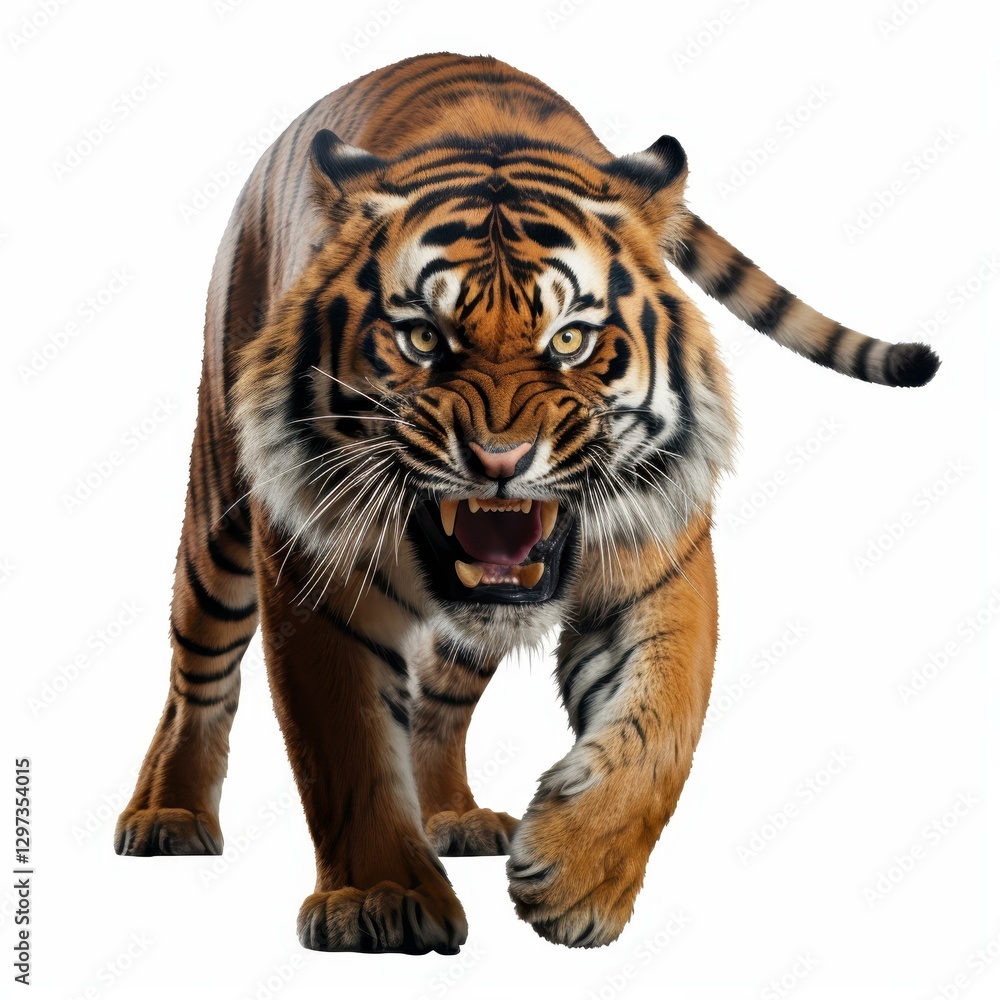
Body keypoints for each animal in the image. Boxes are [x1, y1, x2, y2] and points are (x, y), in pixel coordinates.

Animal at [114, 52, 939, 954]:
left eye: (570, 340)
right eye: (423, 338)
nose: (500, 461)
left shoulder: (663, 564)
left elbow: (663, 726)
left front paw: (579, 877)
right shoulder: (314, 576)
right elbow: (346, 748)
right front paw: (380, 900)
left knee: (439, 703)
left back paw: (454, 818)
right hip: (220, 502)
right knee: (198, 670)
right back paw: (167, 814)